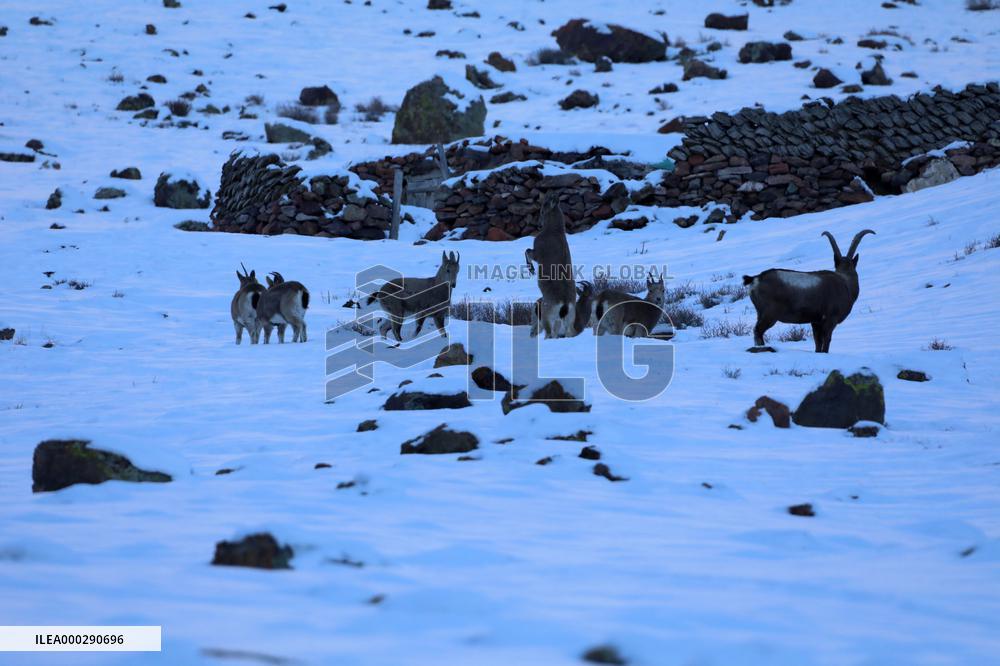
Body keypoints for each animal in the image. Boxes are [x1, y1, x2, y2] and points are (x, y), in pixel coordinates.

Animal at [524, 193, 576, 338]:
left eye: (542, 210)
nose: (538, 225)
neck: (554, 231)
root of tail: (564, 305)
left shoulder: (538, 252)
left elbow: (527, 251)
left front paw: (531, 270)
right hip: (570, 319)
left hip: (547, 315)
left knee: (549, 333)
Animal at [743, 229, 875, 353]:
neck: (845, 282)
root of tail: (756, 279)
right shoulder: (830, 319)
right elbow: (826, 340)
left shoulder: (815, 322)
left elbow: (817, 342)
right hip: (770, 314)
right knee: (758, 331)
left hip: (760, 313)